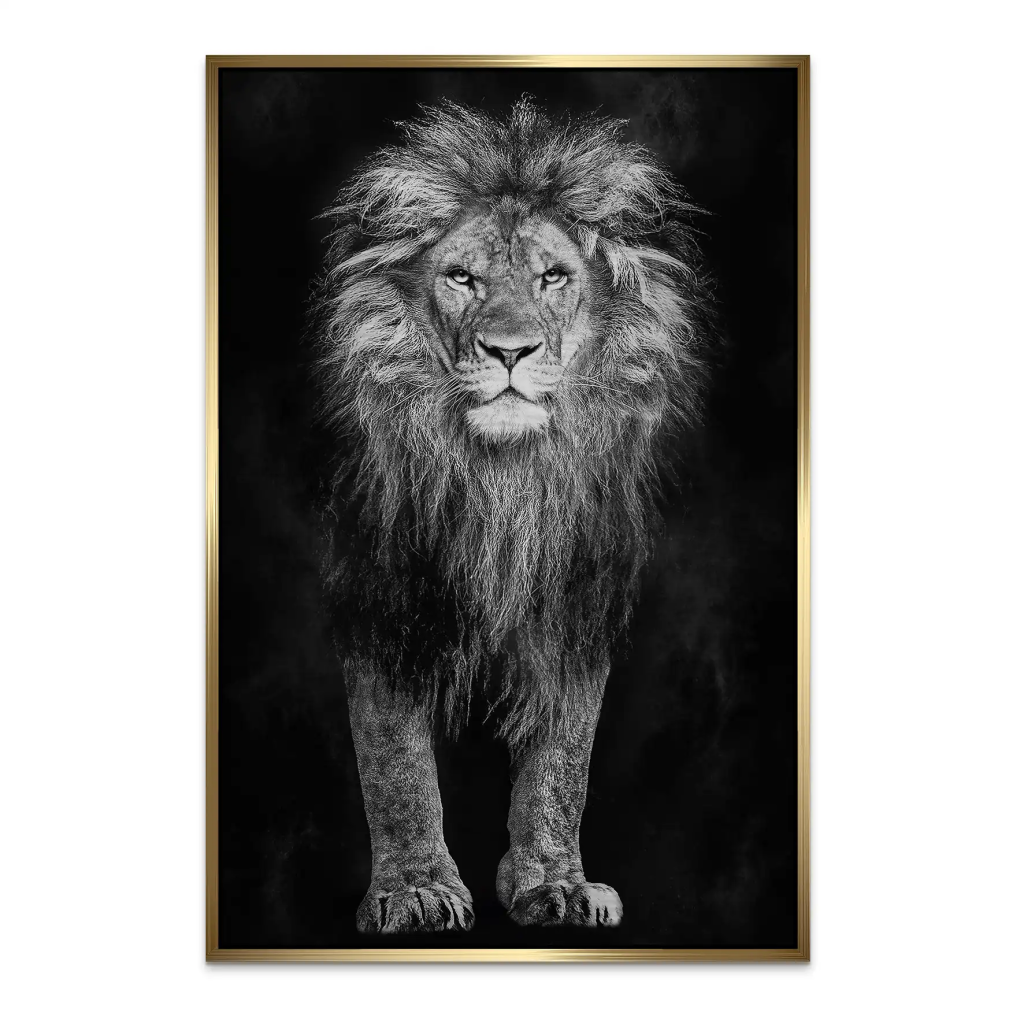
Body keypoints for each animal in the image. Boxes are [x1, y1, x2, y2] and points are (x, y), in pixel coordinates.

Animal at [313, 98, 713, 933]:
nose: (509, 351)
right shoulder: (380, 588)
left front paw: (554, 884)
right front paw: (416, 890)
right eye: (462, 277)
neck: (504, 480)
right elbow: (394, 758)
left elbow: (564, 762)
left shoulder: (576, 593)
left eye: (552, 276)